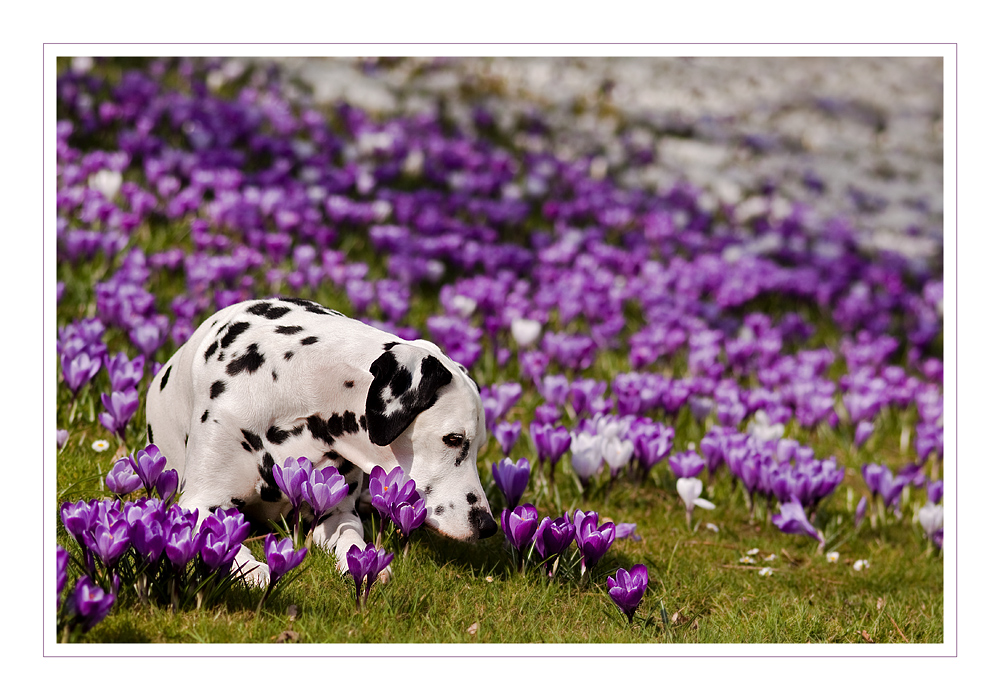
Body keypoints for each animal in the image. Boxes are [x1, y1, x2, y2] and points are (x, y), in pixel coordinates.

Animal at [144, 296, 496, 584]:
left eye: (477, 447)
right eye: (453, 438)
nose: (488, 526)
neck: (299, 392)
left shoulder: (337, 513)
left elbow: (353, 541)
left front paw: (366, 562)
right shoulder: (199, 503)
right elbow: (222, 541)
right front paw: (253, 567)